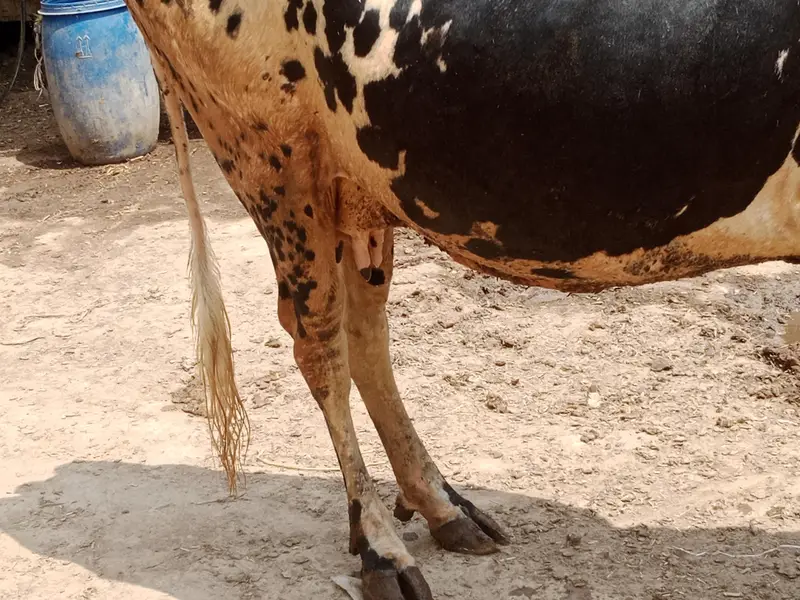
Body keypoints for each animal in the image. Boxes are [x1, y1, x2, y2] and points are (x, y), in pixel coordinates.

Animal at [124, 1, 800, 598]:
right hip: (271, 157)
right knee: (320, 349)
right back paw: (381, 550)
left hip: (355, 188)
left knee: (364, 335)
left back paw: (445, 509)